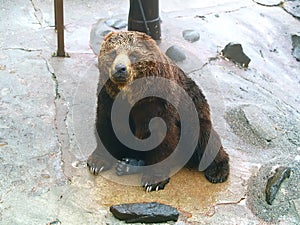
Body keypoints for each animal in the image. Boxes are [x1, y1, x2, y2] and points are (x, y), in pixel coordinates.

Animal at [87, 31, 230, 192]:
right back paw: (128, 165)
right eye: (113, 53)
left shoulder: (160, 103)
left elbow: (163, 137)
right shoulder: (109, 99)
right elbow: (106, 127)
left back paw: (217, 172)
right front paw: (97, 162)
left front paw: (153, 181)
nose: (120, 69)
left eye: (133, 55)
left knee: (204, 139)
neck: (133, 95)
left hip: (195, 117)